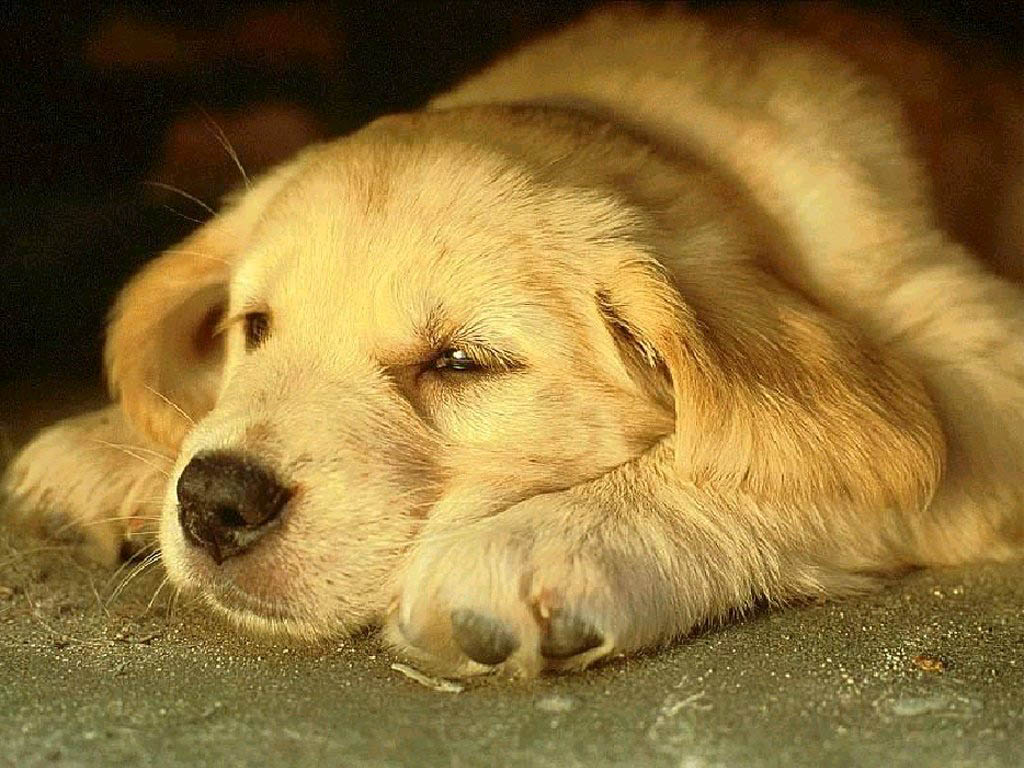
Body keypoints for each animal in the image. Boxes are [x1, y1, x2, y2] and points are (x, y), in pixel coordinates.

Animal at [2, 6, 1024, 679]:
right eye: (255, 329)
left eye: (461, 363)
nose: (215, 501)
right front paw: (112, 449)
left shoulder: (975, 364)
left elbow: (768, 454)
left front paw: (547, 540)